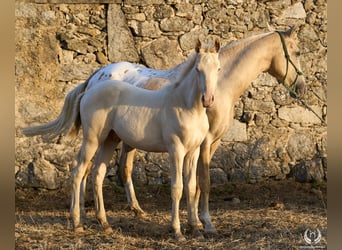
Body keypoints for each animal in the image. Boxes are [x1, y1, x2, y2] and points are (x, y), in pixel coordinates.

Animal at [23, 39, 222, 242]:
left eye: (218, 68)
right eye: (197, 69)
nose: (208, 100)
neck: (185, 106)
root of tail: (87, 91)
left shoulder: (193, 151)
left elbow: (191, 187)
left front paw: (195, 228)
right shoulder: (176, 150)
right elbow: (177, 188)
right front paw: (177, 231)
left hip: (110, 140)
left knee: (97, 173)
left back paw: (104, 223)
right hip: (93, 139)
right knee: (78, 169)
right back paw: (77, 223)